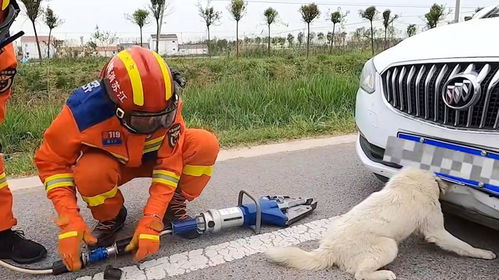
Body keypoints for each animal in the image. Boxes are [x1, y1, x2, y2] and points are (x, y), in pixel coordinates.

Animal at [266, 168, 496, 280]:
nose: (453, 182)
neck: (409, 184)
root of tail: (328, 249)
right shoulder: (437, 231)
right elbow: (464, 246)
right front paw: (484, 253)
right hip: (388, 245)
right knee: (359, 274)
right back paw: (385, 274)